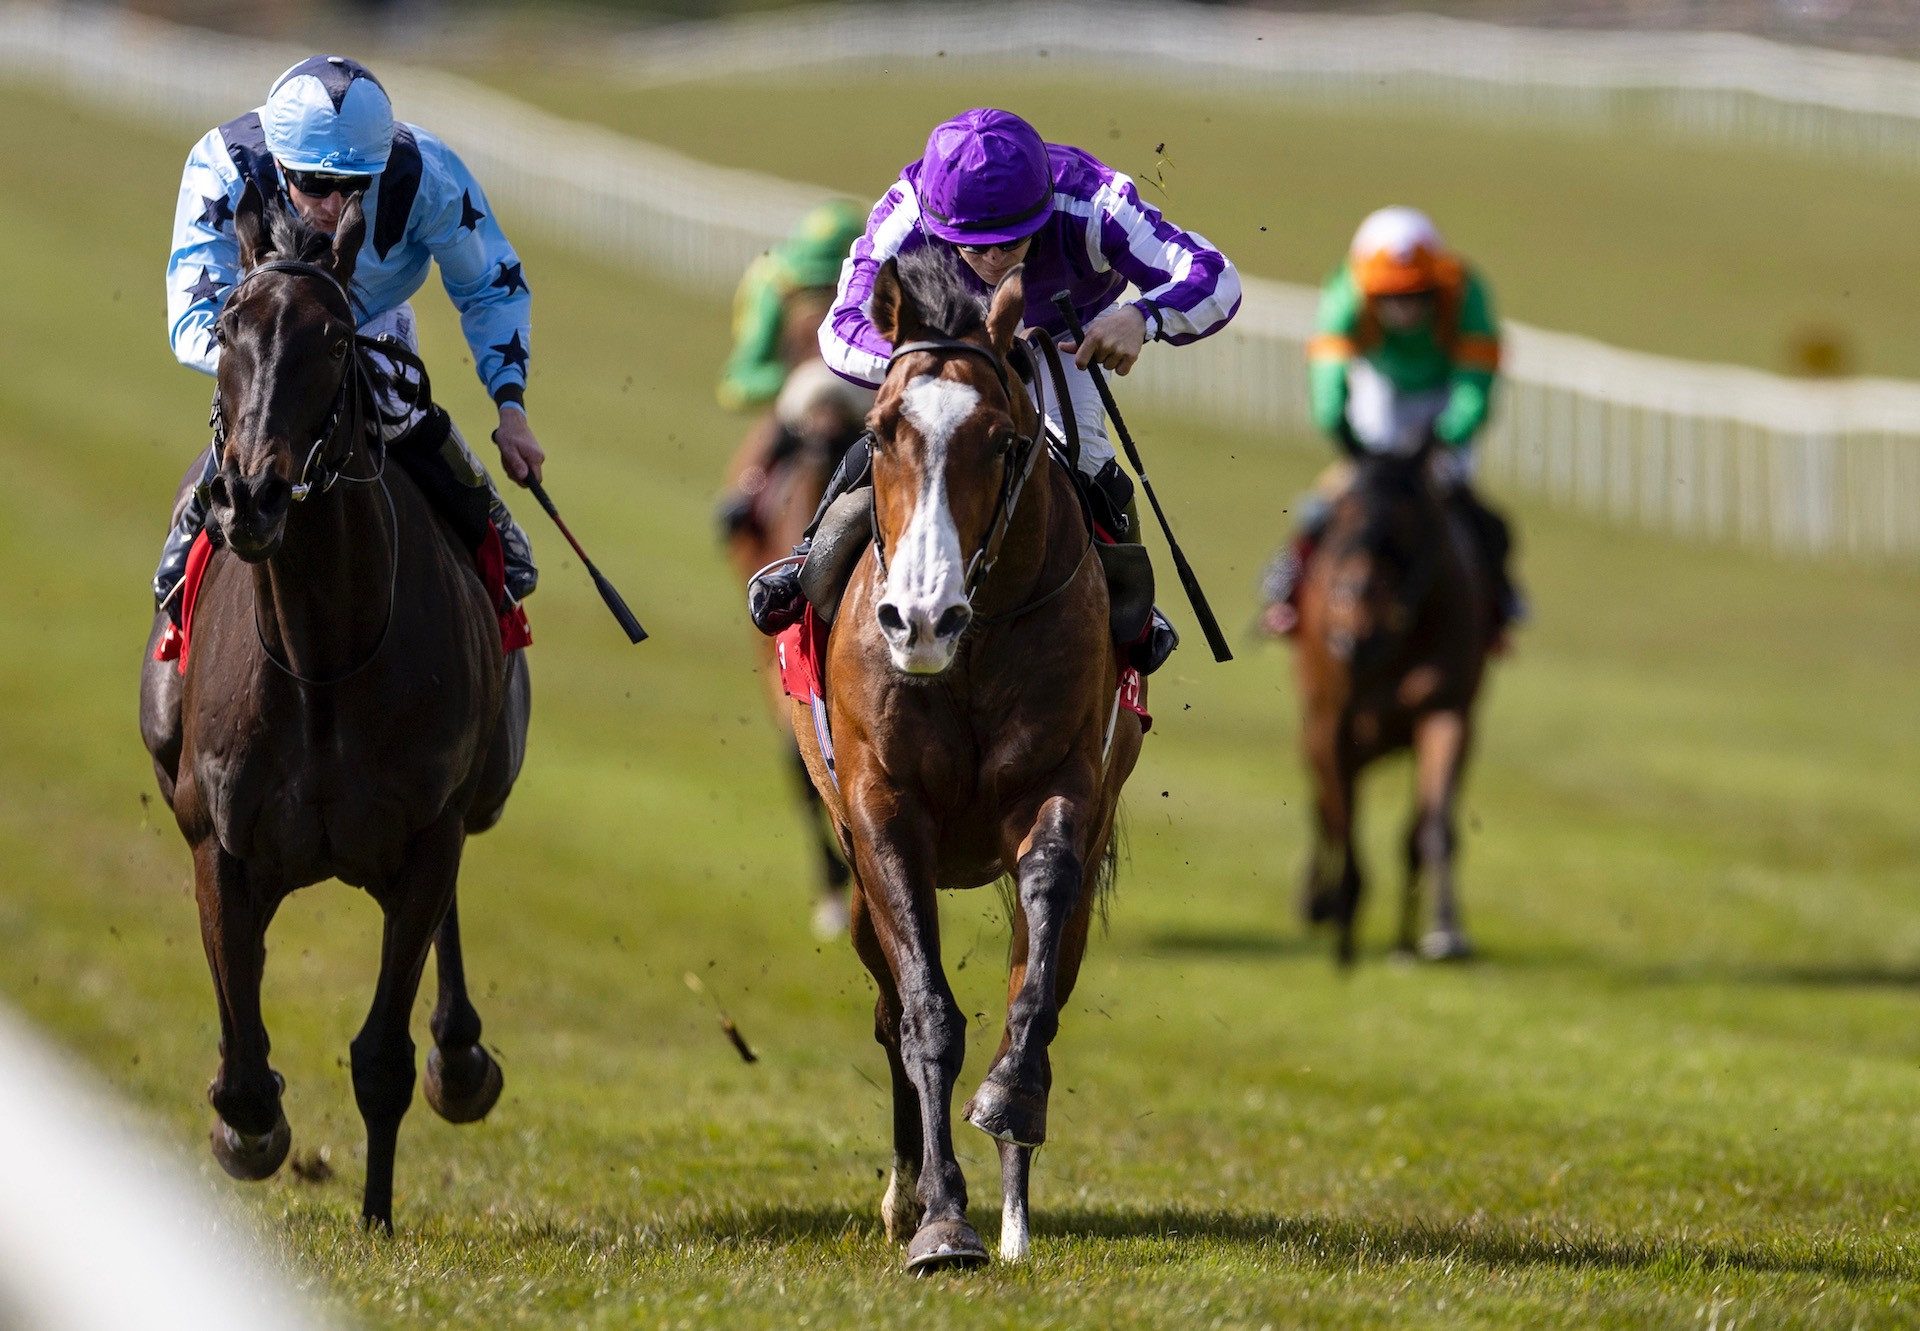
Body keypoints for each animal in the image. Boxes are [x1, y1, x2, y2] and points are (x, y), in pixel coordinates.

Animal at [136, 184, 529, 1221]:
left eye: (336, 337)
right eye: (227, 327)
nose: (252, 496)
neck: (322, 657)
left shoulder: (427, 832)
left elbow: (382, 1055)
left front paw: (377, 1212)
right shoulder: (221, 844)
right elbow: (241, 1055)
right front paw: (250, 1128)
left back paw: (460, 1057)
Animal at [791, 251, 1144, 1275]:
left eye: (1003, 440)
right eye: (880, 431)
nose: (920, 619)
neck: (974, 647)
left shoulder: (1061, 788)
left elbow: (1036, 977)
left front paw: (1011, 1104)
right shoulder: (880, 810)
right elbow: (924, 1014)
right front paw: (941, 1218)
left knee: (1045, 972)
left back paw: (1017, 1213)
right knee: (887, 1007)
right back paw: (907, 1192)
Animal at [1290, 441, 1497, 960]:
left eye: (1412, 523)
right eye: (1342, 514)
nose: (1356, 632)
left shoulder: (1446, 714)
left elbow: (1434, 828)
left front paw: (1444, 930)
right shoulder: (1332, 722)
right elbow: (1342, 817)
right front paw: (1338, 913)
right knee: (1324, 806)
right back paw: (1317, 902)